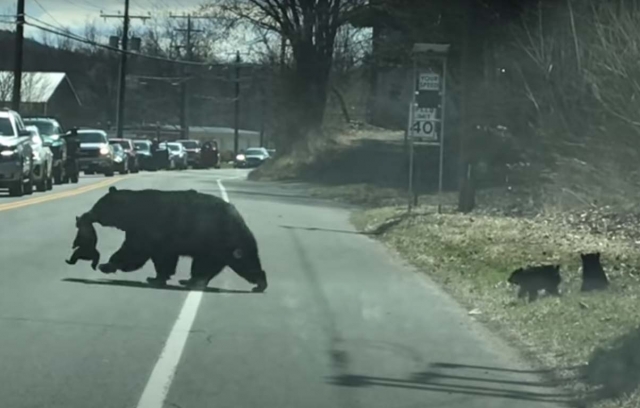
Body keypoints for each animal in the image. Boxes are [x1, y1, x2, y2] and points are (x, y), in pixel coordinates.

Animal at [79, 186, 268, 292]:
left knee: (237, 261)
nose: (86, 214)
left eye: (97, 206)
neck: (132, 212)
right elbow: (162, 258)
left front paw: (107, 265)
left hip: (221, 240)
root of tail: (239, 217)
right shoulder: (156, 236)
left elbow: (135, 251)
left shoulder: (149, 228)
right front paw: (158, 277)